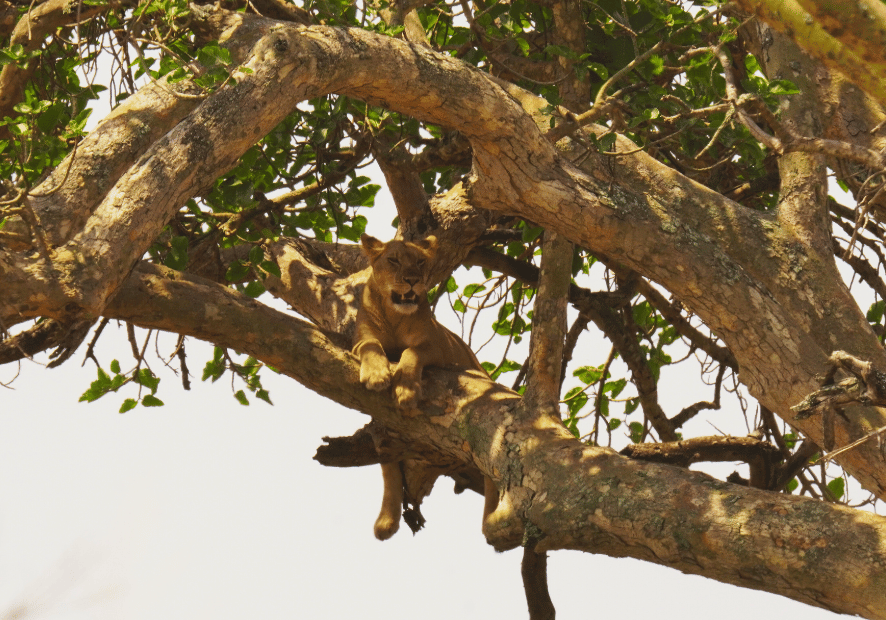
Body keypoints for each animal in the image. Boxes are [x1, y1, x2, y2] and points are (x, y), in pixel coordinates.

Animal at [352, 235, 500, 540]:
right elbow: (372, 345)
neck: (394, 315)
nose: (412, 280)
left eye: (420, 262)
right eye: (393, 260)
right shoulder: (359, 341)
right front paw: (376, 376)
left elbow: (411, 353)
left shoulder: (435, 345)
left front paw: (406, 392)